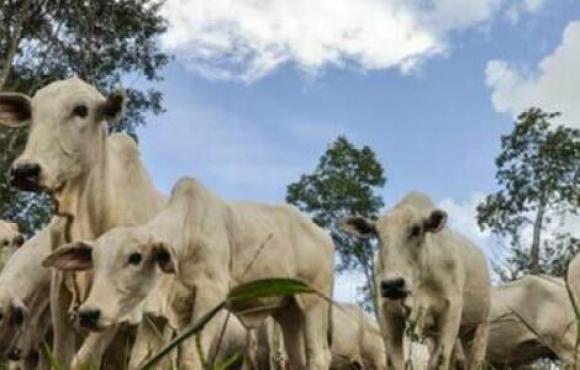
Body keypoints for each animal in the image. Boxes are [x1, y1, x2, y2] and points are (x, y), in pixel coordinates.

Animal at [44, 176, 336, 370]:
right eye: (94, 259)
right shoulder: (157, 314)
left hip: (313, 303)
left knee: (318, 356)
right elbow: (142, 360)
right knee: (297, 358)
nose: (88, 313)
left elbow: (190, 358)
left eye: (135, 257)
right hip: (287, 311)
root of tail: (324, 235)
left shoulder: (211, 297)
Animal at [342, 192, 492, 370]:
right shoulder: (388, 313)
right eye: (376, 233)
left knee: (475, 359)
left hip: (480, 326)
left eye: (417, 229)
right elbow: (395, 361)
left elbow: (440, 359)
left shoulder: (451, 310)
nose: (392, 285)